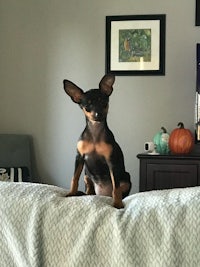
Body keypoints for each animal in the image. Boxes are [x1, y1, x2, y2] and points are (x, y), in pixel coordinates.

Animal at [63, 74, 131, 209]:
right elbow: (74, 178)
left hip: (126, 178)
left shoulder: (111, 162)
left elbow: (116, 187)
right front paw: (71, 193)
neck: (95, 134)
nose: (97, 114)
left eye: (103, 102)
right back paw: (85, 194)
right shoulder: (79, 158)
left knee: (119, 189)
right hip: (86, 174)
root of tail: (102, 194)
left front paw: (117, 203)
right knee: (89, 188)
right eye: (87, 106)